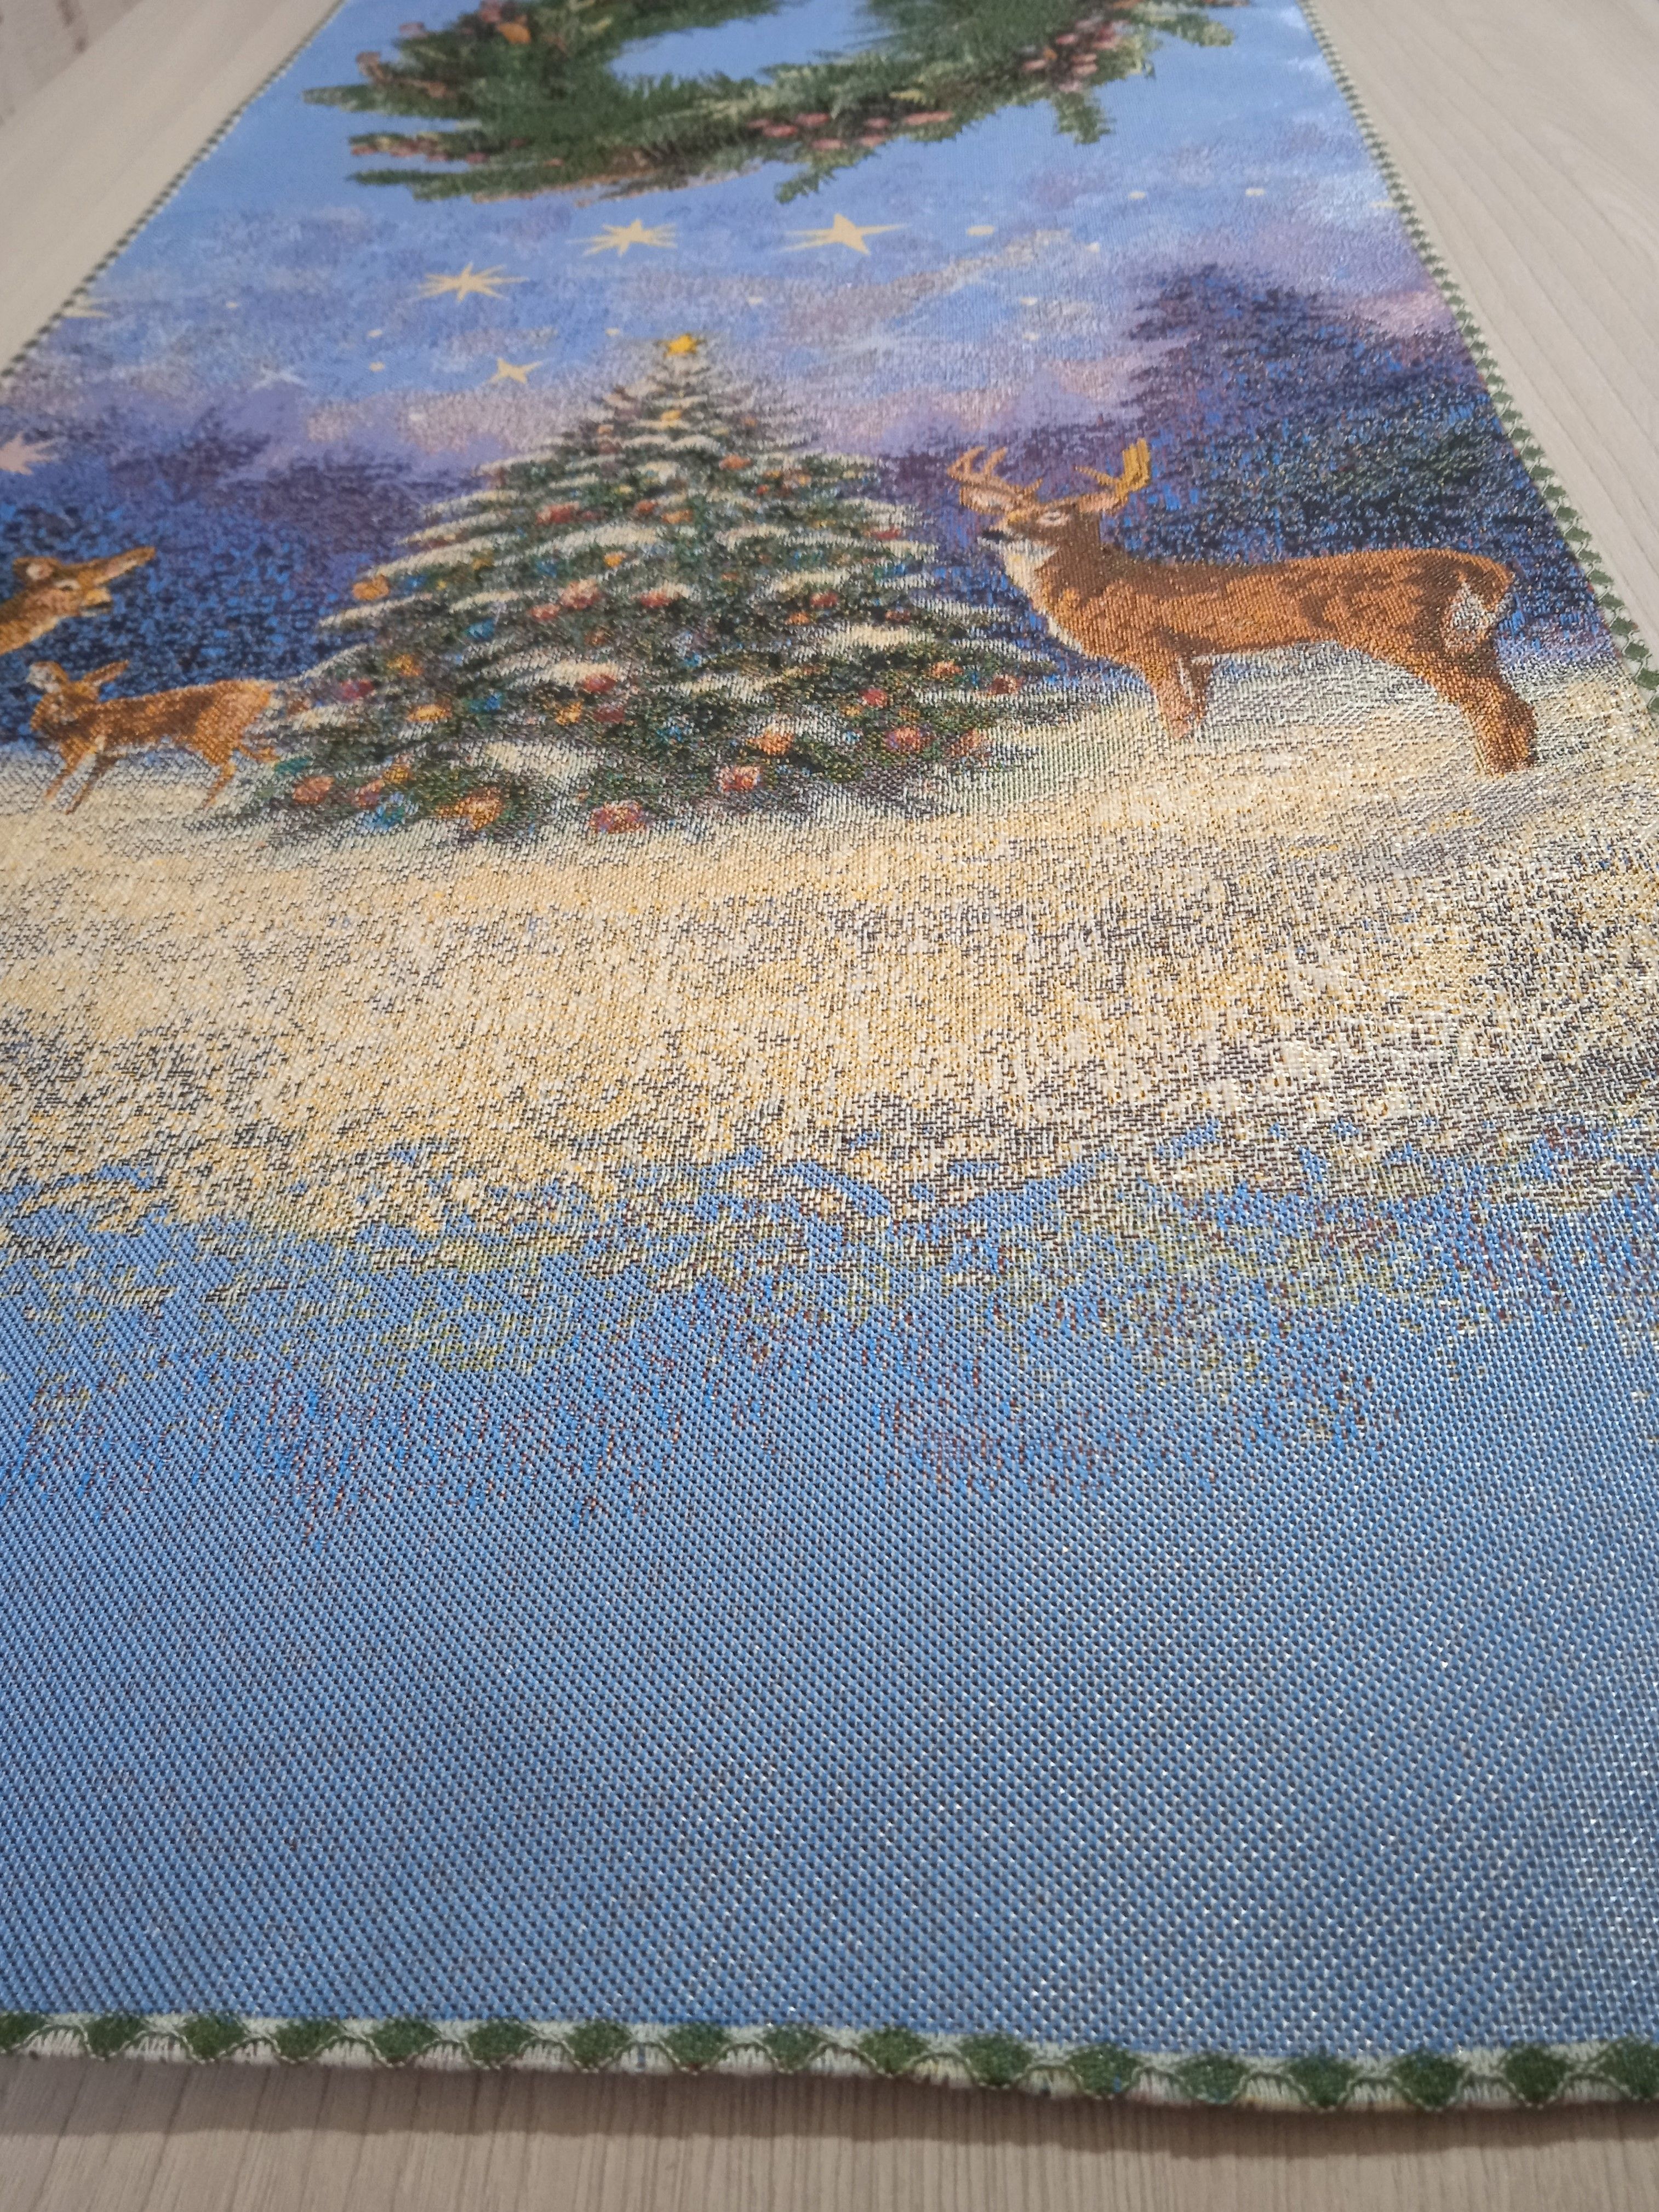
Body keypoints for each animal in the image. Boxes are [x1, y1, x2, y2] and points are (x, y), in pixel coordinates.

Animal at [26, 661, 278, 811]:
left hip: (206, 740)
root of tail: (262, 691)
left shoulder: (83, 753)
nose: (35, 728)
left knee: (230, 767)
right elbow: (86, 785)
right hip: (221, 738)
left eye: (90, 697)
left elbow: (61, 780)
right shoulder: (107, 757)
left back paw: (202, 807)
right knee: (253, 754)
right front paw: (69, 811)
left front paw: (43, 807)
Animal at [948, 441, 1536, 774]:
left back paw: (1497, 774)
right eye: (1010, 511)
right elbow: (1197, 717)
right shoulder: (1199, 657)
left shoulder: (1154, 647)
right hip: (1474, 638)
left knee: (1487, 700)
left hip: (1407, 632)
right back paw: (1520, 764)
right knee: (1511, 698)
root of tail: (1464, 562)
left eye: (1053, 516)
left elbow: (1175, 718)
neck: (1101, 585)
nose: (994, 532)